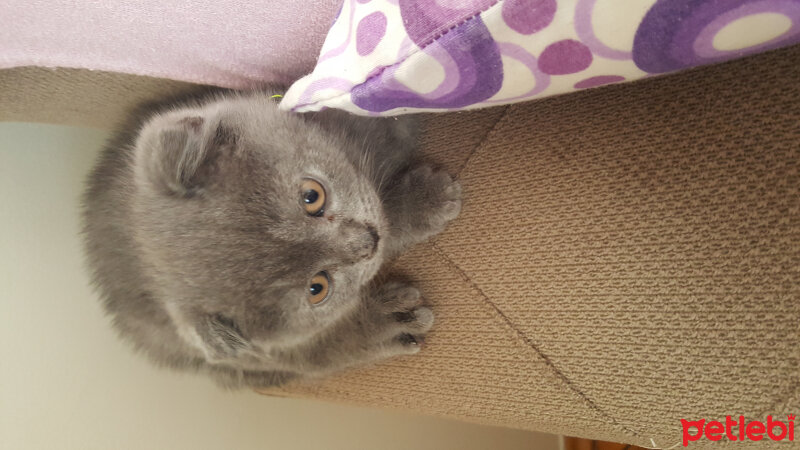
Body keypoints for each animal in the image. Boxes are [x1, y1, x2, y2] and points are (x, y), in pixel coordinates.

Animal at [82, 89, 462, 388]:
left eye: (312, 196)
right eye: (317, 288)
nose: (368, 241)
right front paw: (423, 201)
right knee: (310, 357)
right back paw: (387, 322)